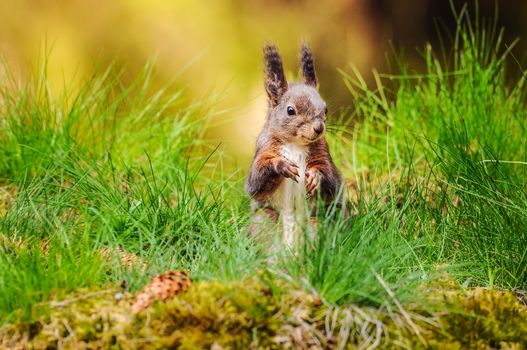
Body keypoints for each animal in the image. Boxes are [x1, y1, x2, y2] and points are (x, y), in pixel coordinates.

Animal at [245, 42, 344, 247]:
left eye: (325, 109)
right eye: (290, 110)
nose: (319, 128)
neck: (295, 144)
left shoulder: (324, 155)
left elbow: (332, 180)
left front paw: (315, 176)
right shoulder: (263, 149)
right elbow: (255, 181)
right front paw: (281, 165)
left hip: (319, 221)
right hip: (264, 219)